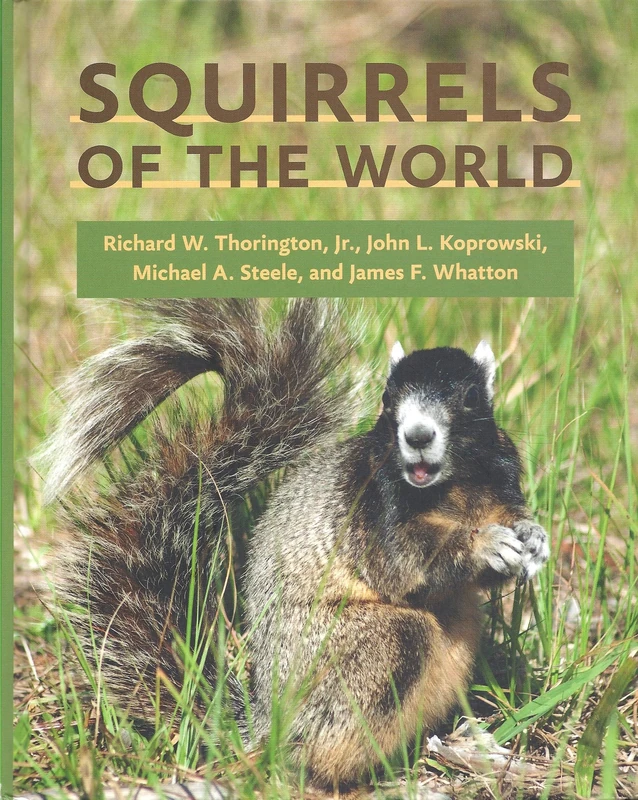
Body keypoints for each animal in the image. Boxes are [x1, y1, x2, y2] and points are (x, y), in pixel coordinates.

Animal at [40, 298, 549, 792]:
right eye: (388, 400)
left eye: (469, 398)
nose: (417, 436)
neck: (454, 487)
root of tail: (268, 724)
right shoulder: (374, 511)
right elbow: (404, 564)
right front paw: (484, 543)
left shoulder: (501, 481)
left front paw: (533, 539)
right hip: (371, 651)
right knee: (318, 747)